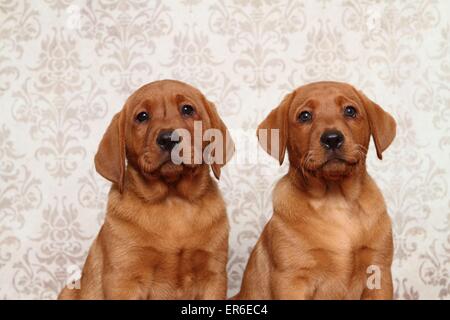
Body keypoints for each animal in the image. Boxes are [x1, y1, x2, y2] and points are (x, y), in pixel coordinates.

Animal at [58, 80, 234, 300]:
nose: (168, 138)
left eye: (187, 109)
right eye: (142, 116)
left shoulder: (213, 275)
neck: (172, 199)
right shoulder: (124, 277)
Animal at [237, 80, 396, 300]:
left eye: (350, 111)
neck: (336, 199)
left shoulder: (379, 273)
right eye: (305, 116)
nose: (332, 138)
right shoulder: (292, 279)